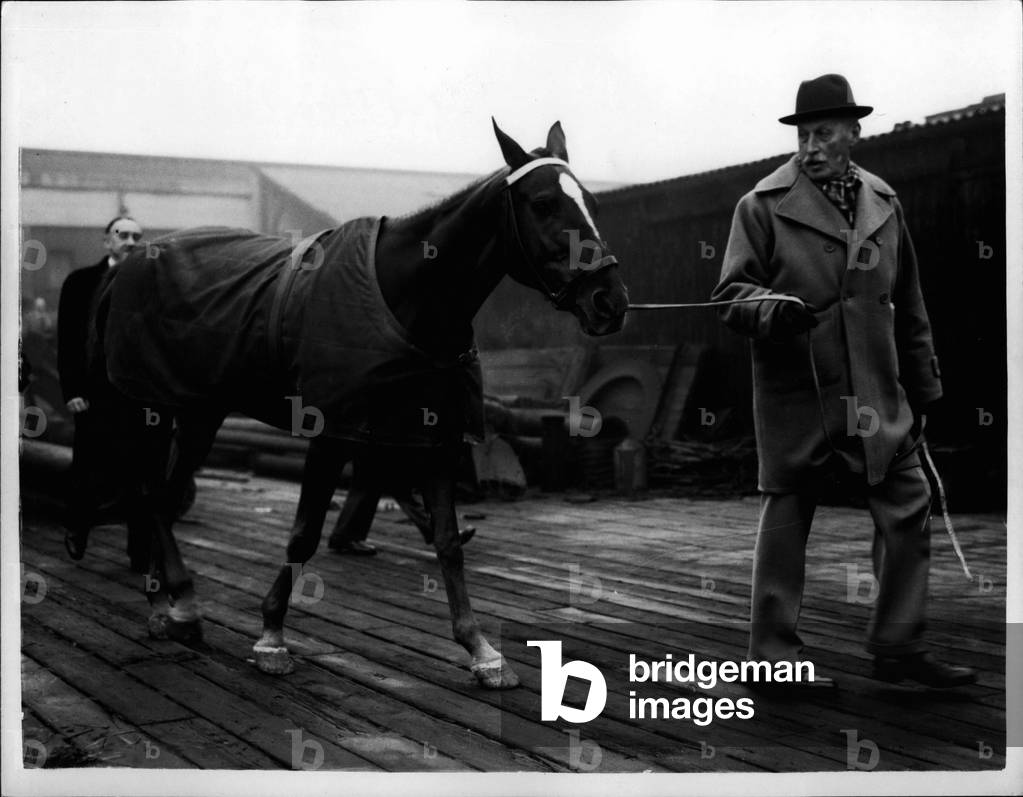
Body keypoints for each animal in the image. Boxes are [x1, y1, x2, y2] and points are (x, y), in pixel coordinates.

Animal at [87, 120, 626, 691]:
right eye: (544, 203)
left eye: (591, 201)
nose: (610, 301)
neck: (407, 295)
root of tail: (131, 264)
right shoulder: (332, 431)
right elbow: (303, 535)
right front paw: (272, 636)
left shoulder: (437, 435)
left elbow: (447, 541)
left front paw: (481, 649)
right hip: (156, 402)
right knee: (151, 493)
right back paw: (177, 601)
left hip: (199, 408)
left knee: (163, 495)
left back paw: (172, 602)